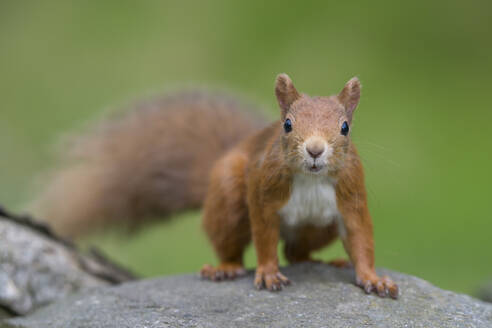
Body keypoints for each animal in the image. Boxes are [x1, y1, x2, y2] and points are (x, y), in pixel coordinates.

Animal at [32, 75, 398, 300]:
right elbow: (264, 238)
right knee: (234, 244)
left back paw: (330, 261)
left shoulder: (351, 196)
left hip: (318, 228)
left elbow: (361, 238)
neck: (311, 178)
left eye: (345, 127)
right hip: (228, 197)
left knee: (296, 252)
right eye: (287, 124)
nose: (315, 149)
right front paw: (268, 273)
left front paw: (373, 278)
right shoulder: (263, 193)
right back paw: (224, 269)